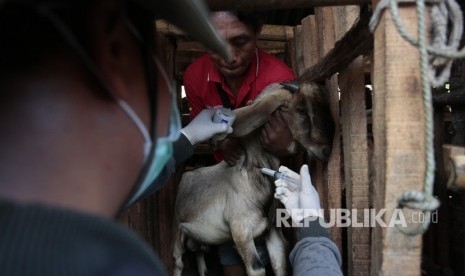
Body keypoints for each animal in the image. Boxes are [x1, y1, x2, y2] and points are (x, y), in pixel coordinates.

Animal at [170, 82, 334, 276]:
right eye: (301, 111)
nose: (326, 150)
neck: (252, 173)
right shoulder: (242, 233)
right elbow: (257, 268)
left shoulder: (273, 233)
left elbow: (279, 265)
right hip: (178, 229)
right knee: (178, 261)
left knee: (200, 252)